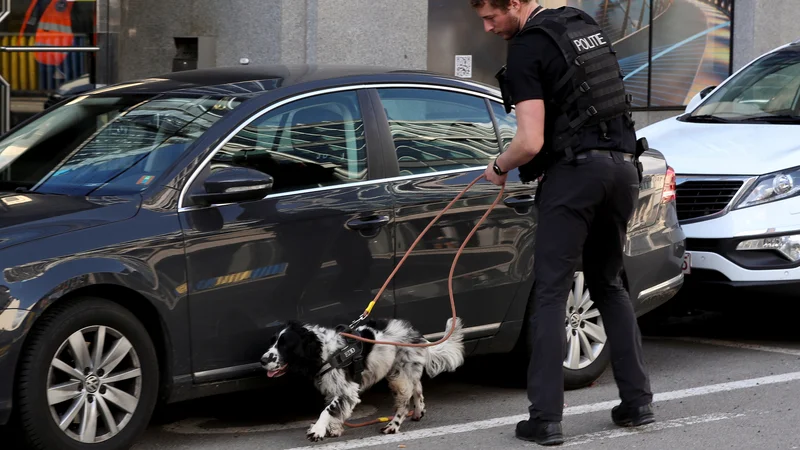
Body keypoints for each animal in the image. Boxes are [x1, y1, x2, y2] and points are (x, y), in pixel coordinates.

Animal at [260, 318, 466, 442]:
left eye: (285, 345)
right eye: (273, 341)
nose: (262, 360)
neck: (324, 351)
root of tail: (417, 336)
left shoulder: (346, 389)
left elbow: (327, 410)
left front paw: (317, 430)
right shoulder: (334, 388)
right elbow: (337, 410)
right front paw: (335, 429)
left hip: (399, 378)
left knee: (403, 403)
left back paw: (392, 426)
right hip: (405, 371)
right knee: (417, 387)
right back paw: (418, 411)